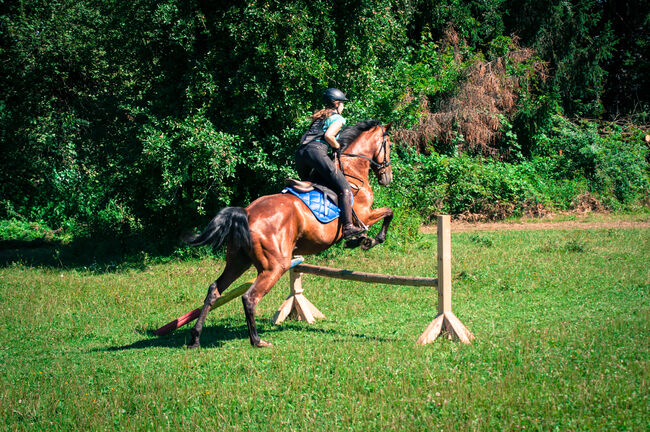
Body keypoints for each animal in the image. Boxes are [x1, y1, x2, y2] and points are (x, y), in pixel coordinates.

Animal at [185, 120, 392, 348]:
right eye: (389, 145)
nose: (387, 178)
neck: (352, 168)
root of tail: (246, 213)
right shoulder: (365, 214)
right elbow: (388, 212)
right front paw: (368, 240)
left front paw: (363, 241)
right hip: (275, 266)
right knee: (250, 297)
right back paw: (257, 341)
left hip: (238, 261)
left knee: (214, 290)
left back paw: (195, 337)